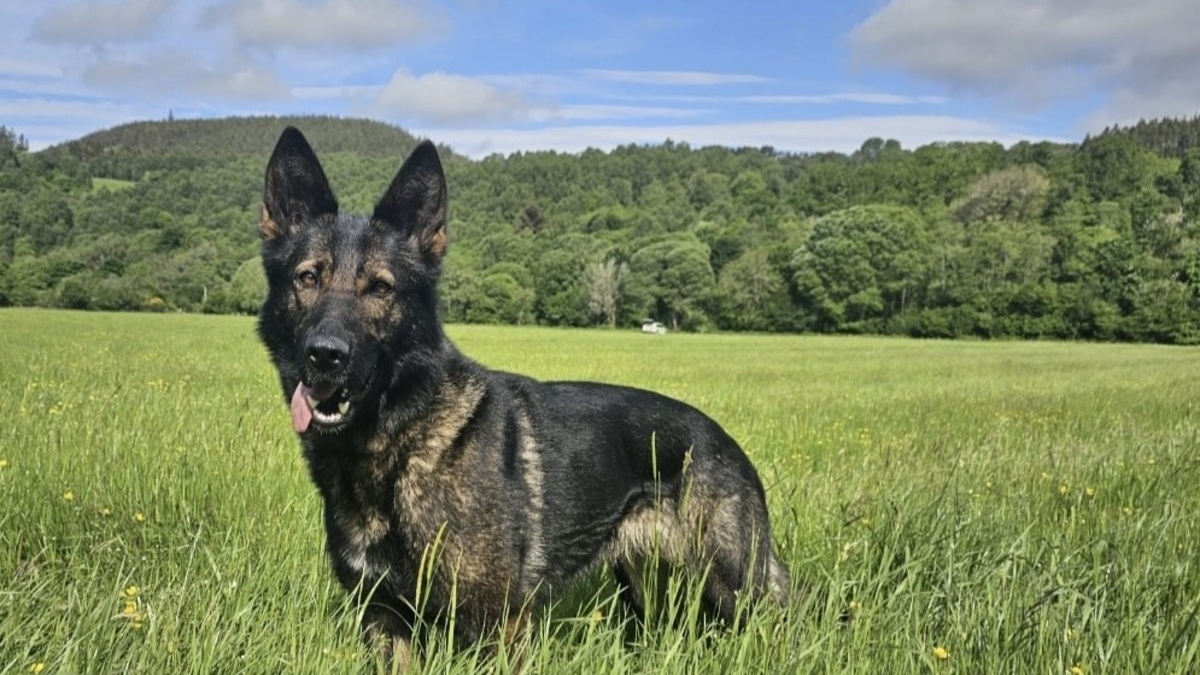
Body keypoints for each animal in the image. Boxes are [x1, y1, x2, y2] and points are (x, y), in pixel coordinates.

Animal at [258, 126, 792, 662]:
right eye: (308, 278)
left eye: (381, 288)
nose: (325, 355)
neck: (400, 441)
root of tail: (725, 441)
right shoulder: (384, 619)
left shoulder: (498, 625)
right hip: (646, 590)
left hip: (737, 589)